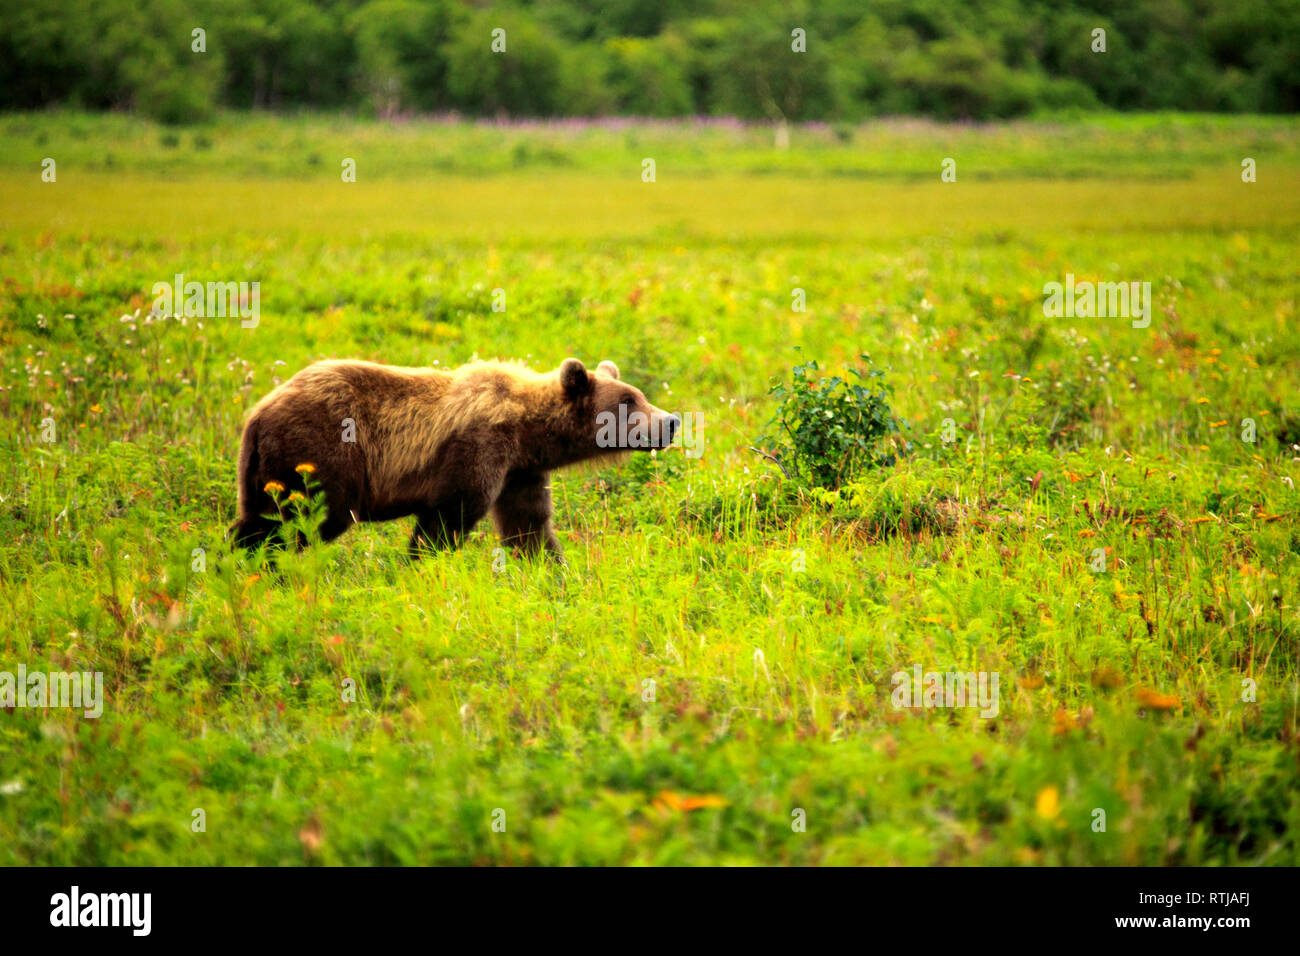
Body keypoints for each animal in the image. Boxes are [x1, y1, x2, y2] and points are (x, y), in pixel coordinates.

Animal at [227, 361, 681, 564]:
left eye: (639, 396)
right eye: (628, 401)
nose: (671, 421)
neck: (526, 431)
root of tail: (257, 414)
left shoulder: (520, 472)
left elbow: (530, 526)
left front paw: (554, 570)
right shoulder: (478, 447)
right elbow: (449, 517)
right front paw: (422, 565)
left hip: (263, 468)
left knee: (259, 518)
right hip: (321, 452)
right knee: (303, 518)